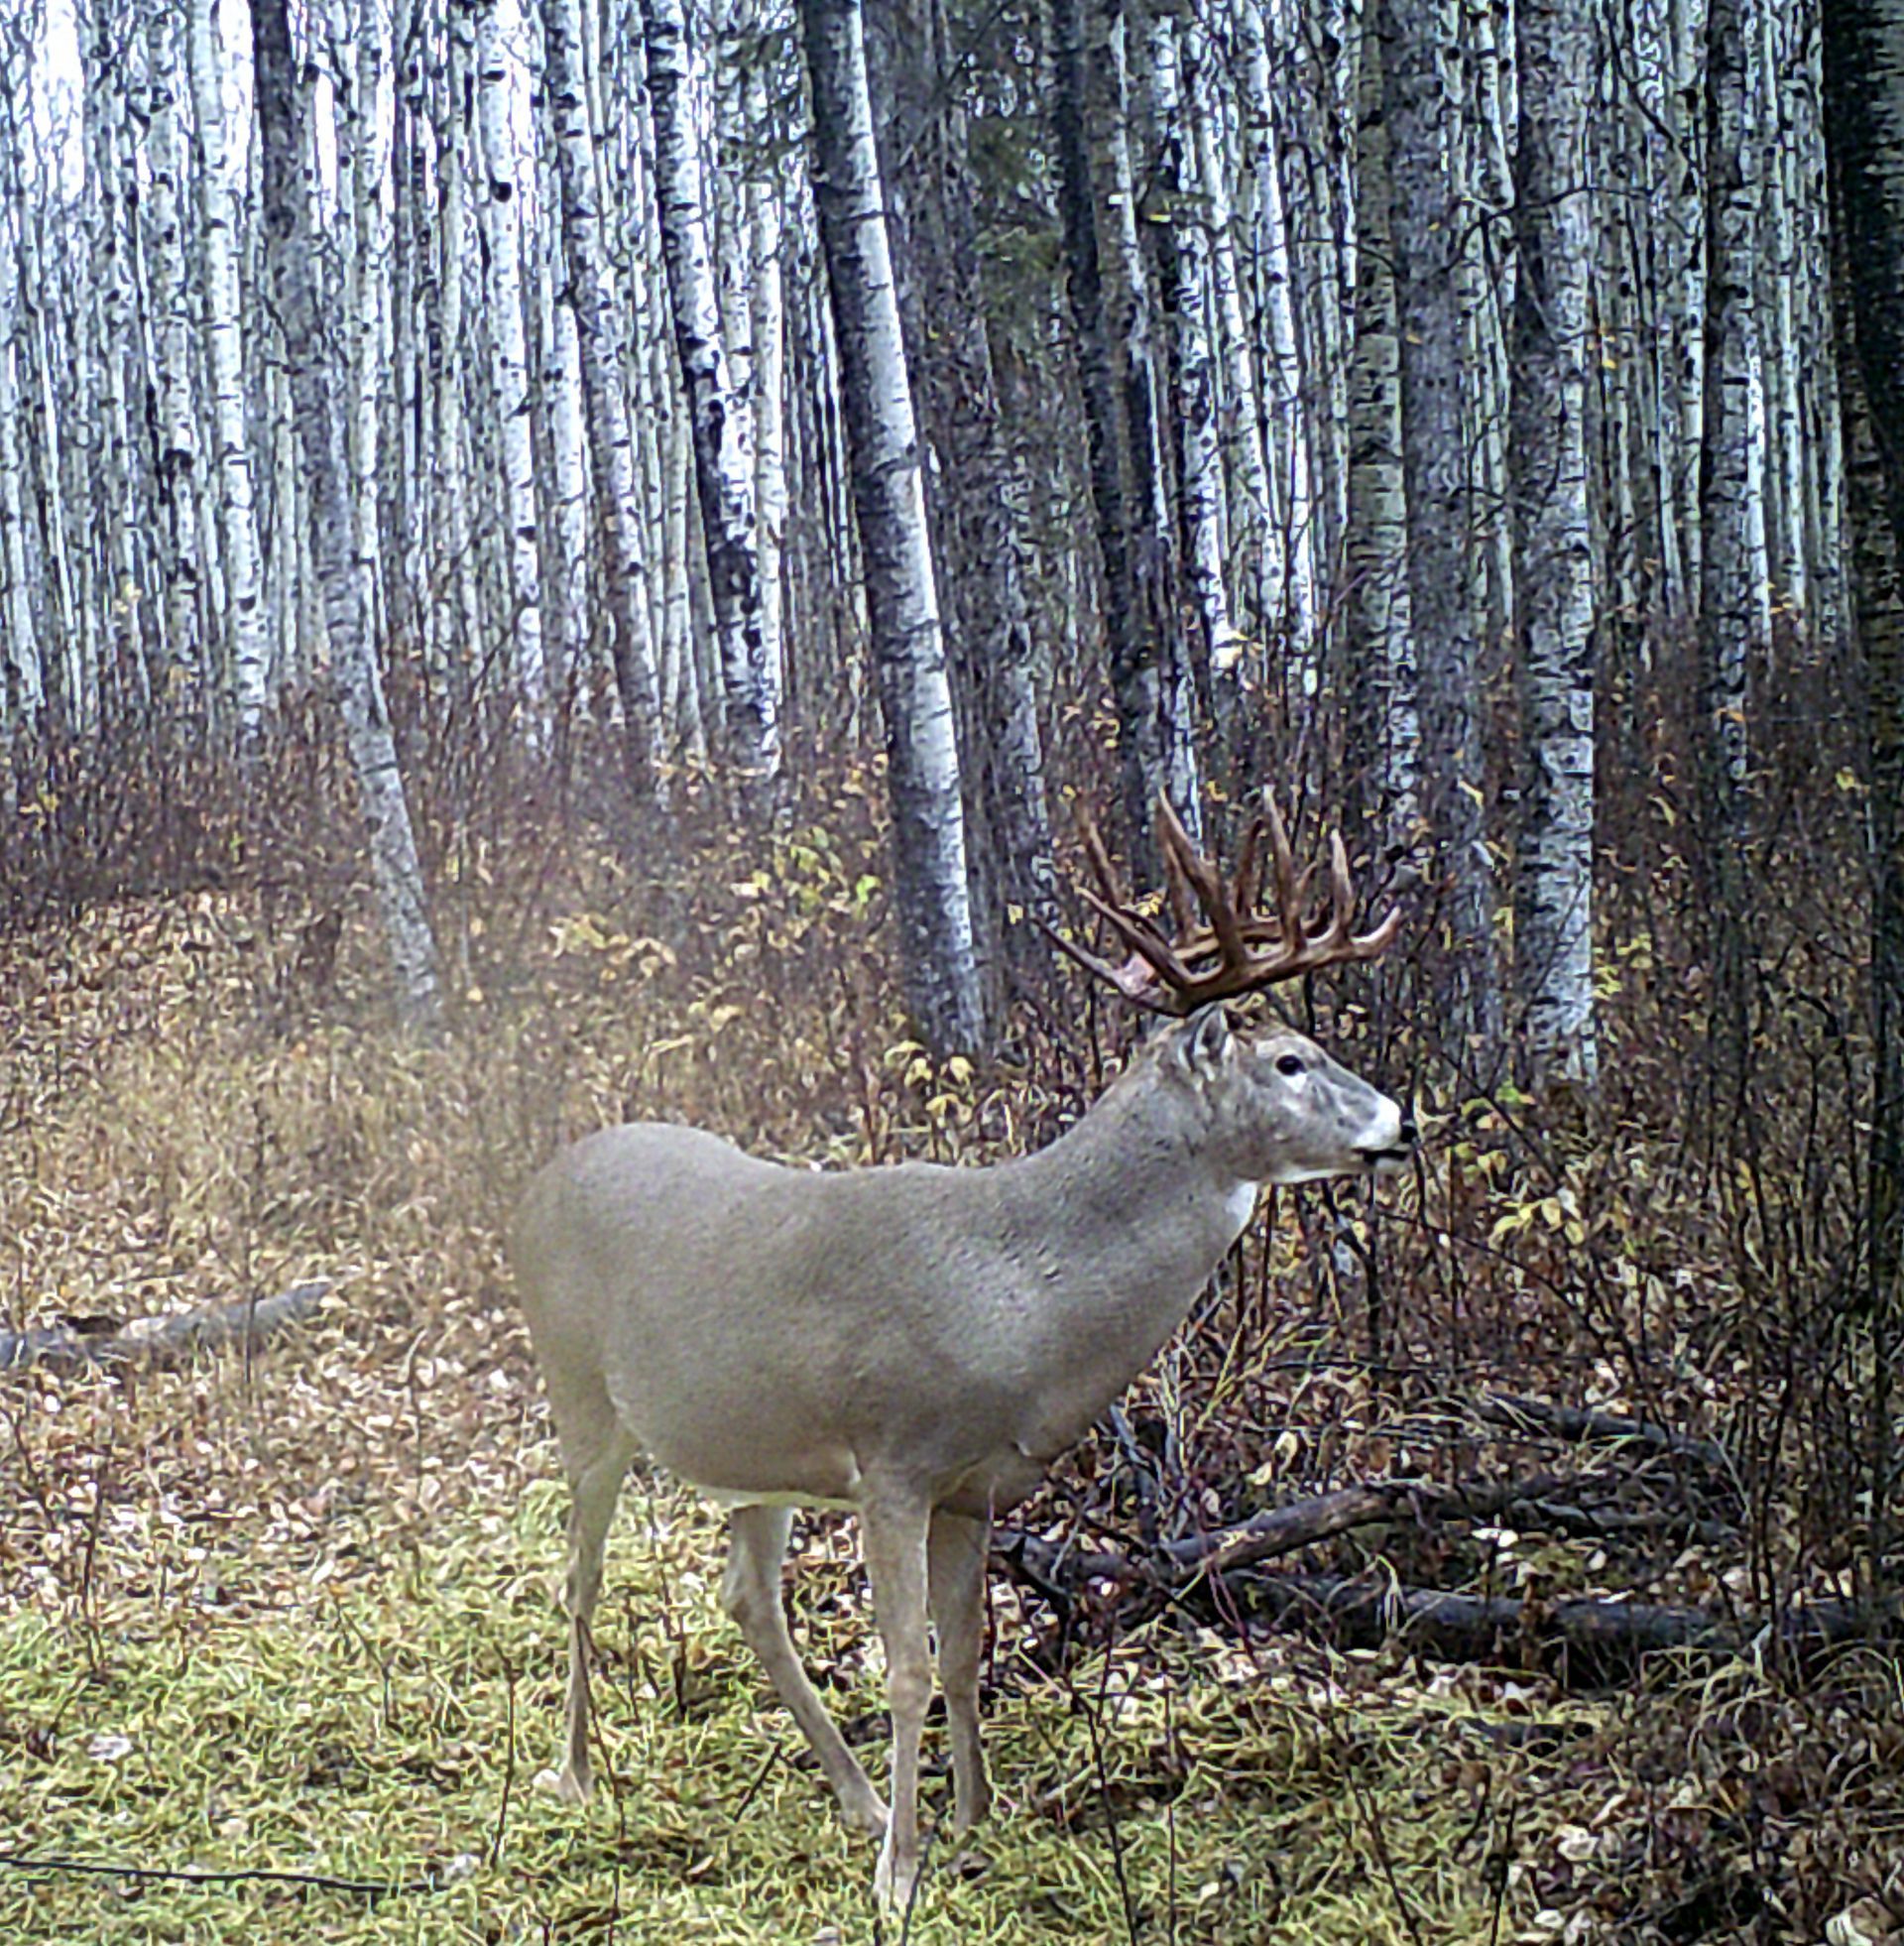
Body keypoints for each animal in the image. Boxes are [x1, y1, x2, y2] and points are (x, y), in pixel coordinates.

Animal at [511, 792, 1415, 1908]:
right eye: (1289, 1062)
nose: (1403, 1122)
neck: (1019, 1294)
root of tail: (534, 1187)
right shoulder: (894, 1462)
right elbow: (903, 1664)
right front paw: (900, 1876)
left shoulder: (975, 1487)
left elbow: (962, 1652)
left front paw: (978, 1816)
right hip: (579, 1393)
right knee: (578, 1576)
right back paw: (577, 1775)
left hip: (750, 1454)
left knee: (748, 1600)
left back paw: (854, 1799)